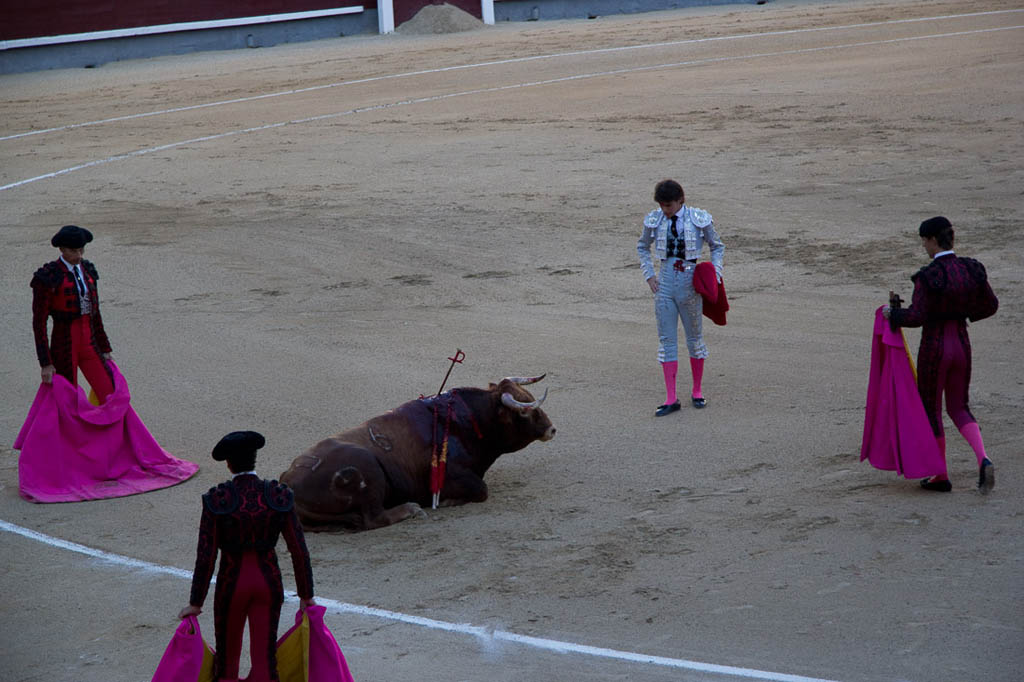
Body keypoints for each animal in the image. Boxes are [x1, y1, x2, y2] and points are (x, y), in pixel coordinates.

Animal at [280, 374, 557, 528]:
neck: (468, 420)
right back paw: (411, 509)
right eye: (525, 411)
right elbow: (481, 490)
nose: (551, 429)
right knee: (373, 518)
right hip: (367, 469)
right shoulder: (453, 476)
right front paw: (447, 501)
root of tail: (288, 482)